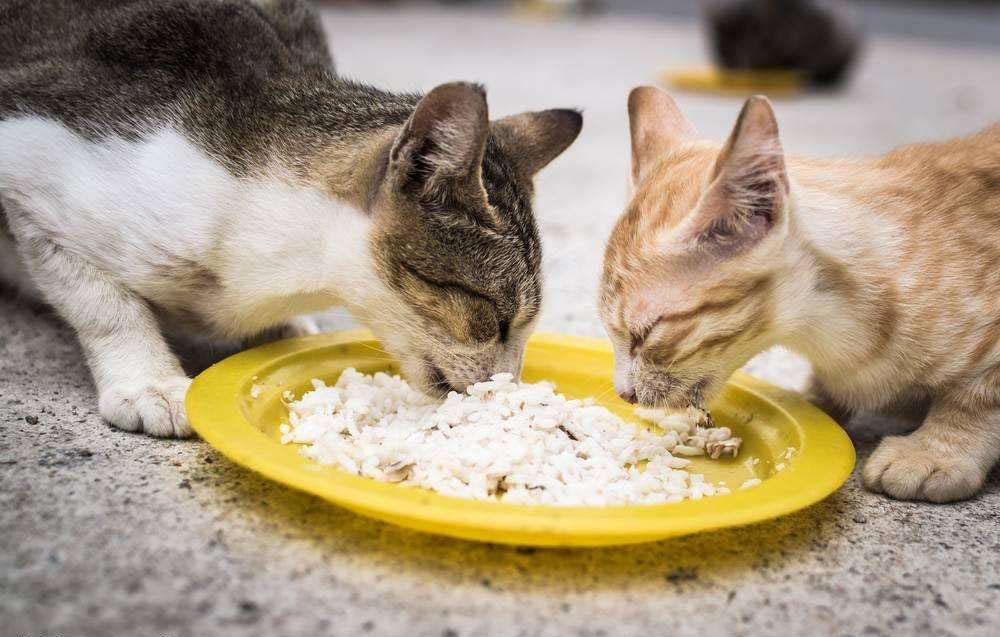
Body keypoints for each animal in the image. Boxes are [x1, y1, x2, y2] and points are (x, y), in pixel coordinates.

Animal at [600, 85, 1000, 502]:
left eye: (645, 334)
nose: (624, 393)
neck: (827, 331)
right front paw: (815, 403)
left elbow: (978, 396)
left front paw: (936, 450)